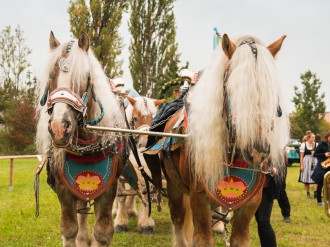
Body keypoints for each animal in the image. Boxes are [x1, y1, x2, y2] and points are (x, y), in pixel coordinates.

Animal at [35, 31, 128, 246]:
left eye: (85, 77)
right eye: (51, 77)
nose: (59, 128)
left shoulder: (109, 188)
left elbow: (102, 232)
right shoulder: (64, 187)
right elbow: (69, 229)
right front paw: (77, 237)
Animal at [144, 33, 288, 247]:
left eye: (270, 90)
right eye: (235, 87)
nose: (257, 150)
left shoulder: (251, 201)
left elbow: (240, 238)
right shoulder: (199, 197)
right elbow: (203, 238)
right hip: (173, 186)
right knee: (178, 218)